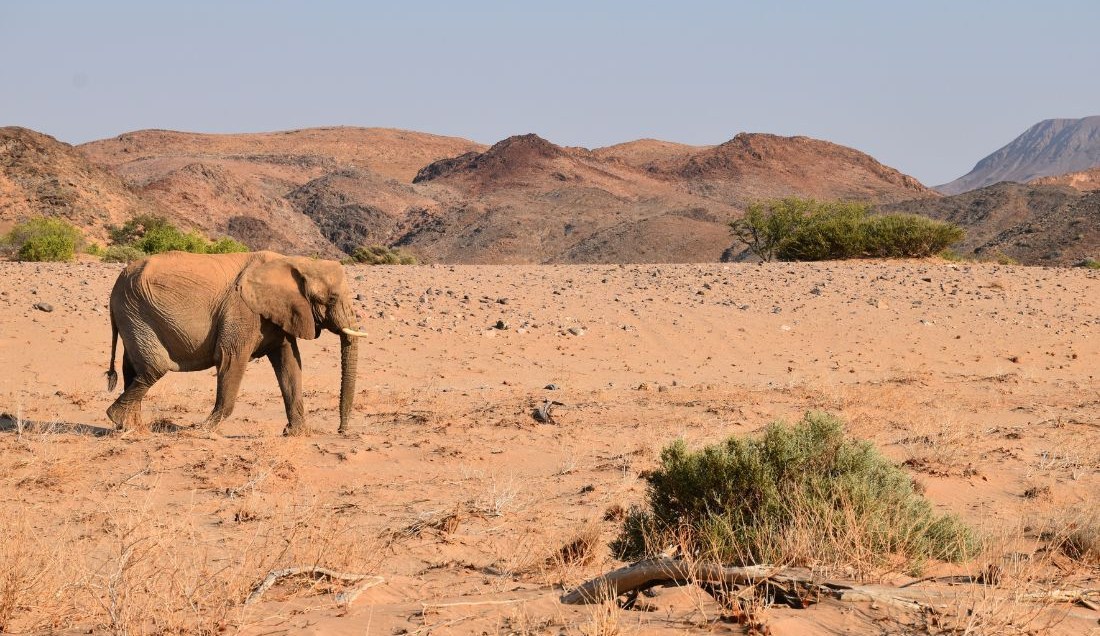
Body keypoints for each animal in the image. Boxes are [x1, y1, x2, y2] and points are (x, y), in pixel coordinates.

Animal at [104, 250, 368, 435]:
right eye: (331, 298)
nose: (341, 431)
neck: (297, 262)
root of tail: (117, 282)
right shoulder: (242, 310)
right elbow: (231, 359)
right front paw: (204, 431)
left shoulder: (279, 314)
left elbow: (290, 364)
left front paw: (296, 433)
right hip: (134, 310)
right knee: (154, 368)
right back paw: (119, 420)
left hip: (132, 312)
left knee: (133, 369)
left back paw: (132, 428)